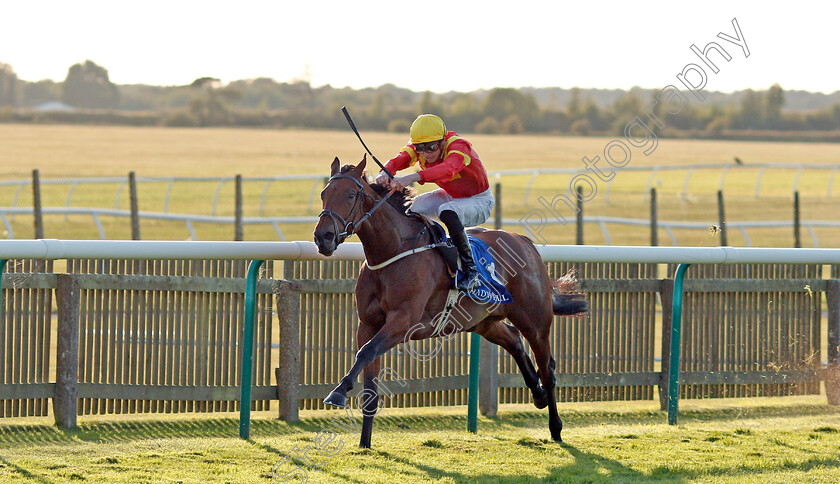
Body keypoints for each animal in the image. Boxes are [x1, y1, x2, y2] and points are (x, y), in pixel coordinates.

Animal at [312, 157, 588, 448]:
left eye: (350, 195)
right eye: (323, 194)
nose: (323, 237)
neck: (393, 251)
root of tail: (525, 242)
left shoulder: (403, 321)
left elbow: (366, 351)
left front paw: (338, 392)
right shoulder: (367, 323)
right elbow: (369, 380)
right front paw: (364, 443)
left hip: (535, 321)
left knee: (547, 368)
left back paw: (555, 426)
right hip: (483, 321)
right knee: (514, 340)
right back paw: (538, 394)